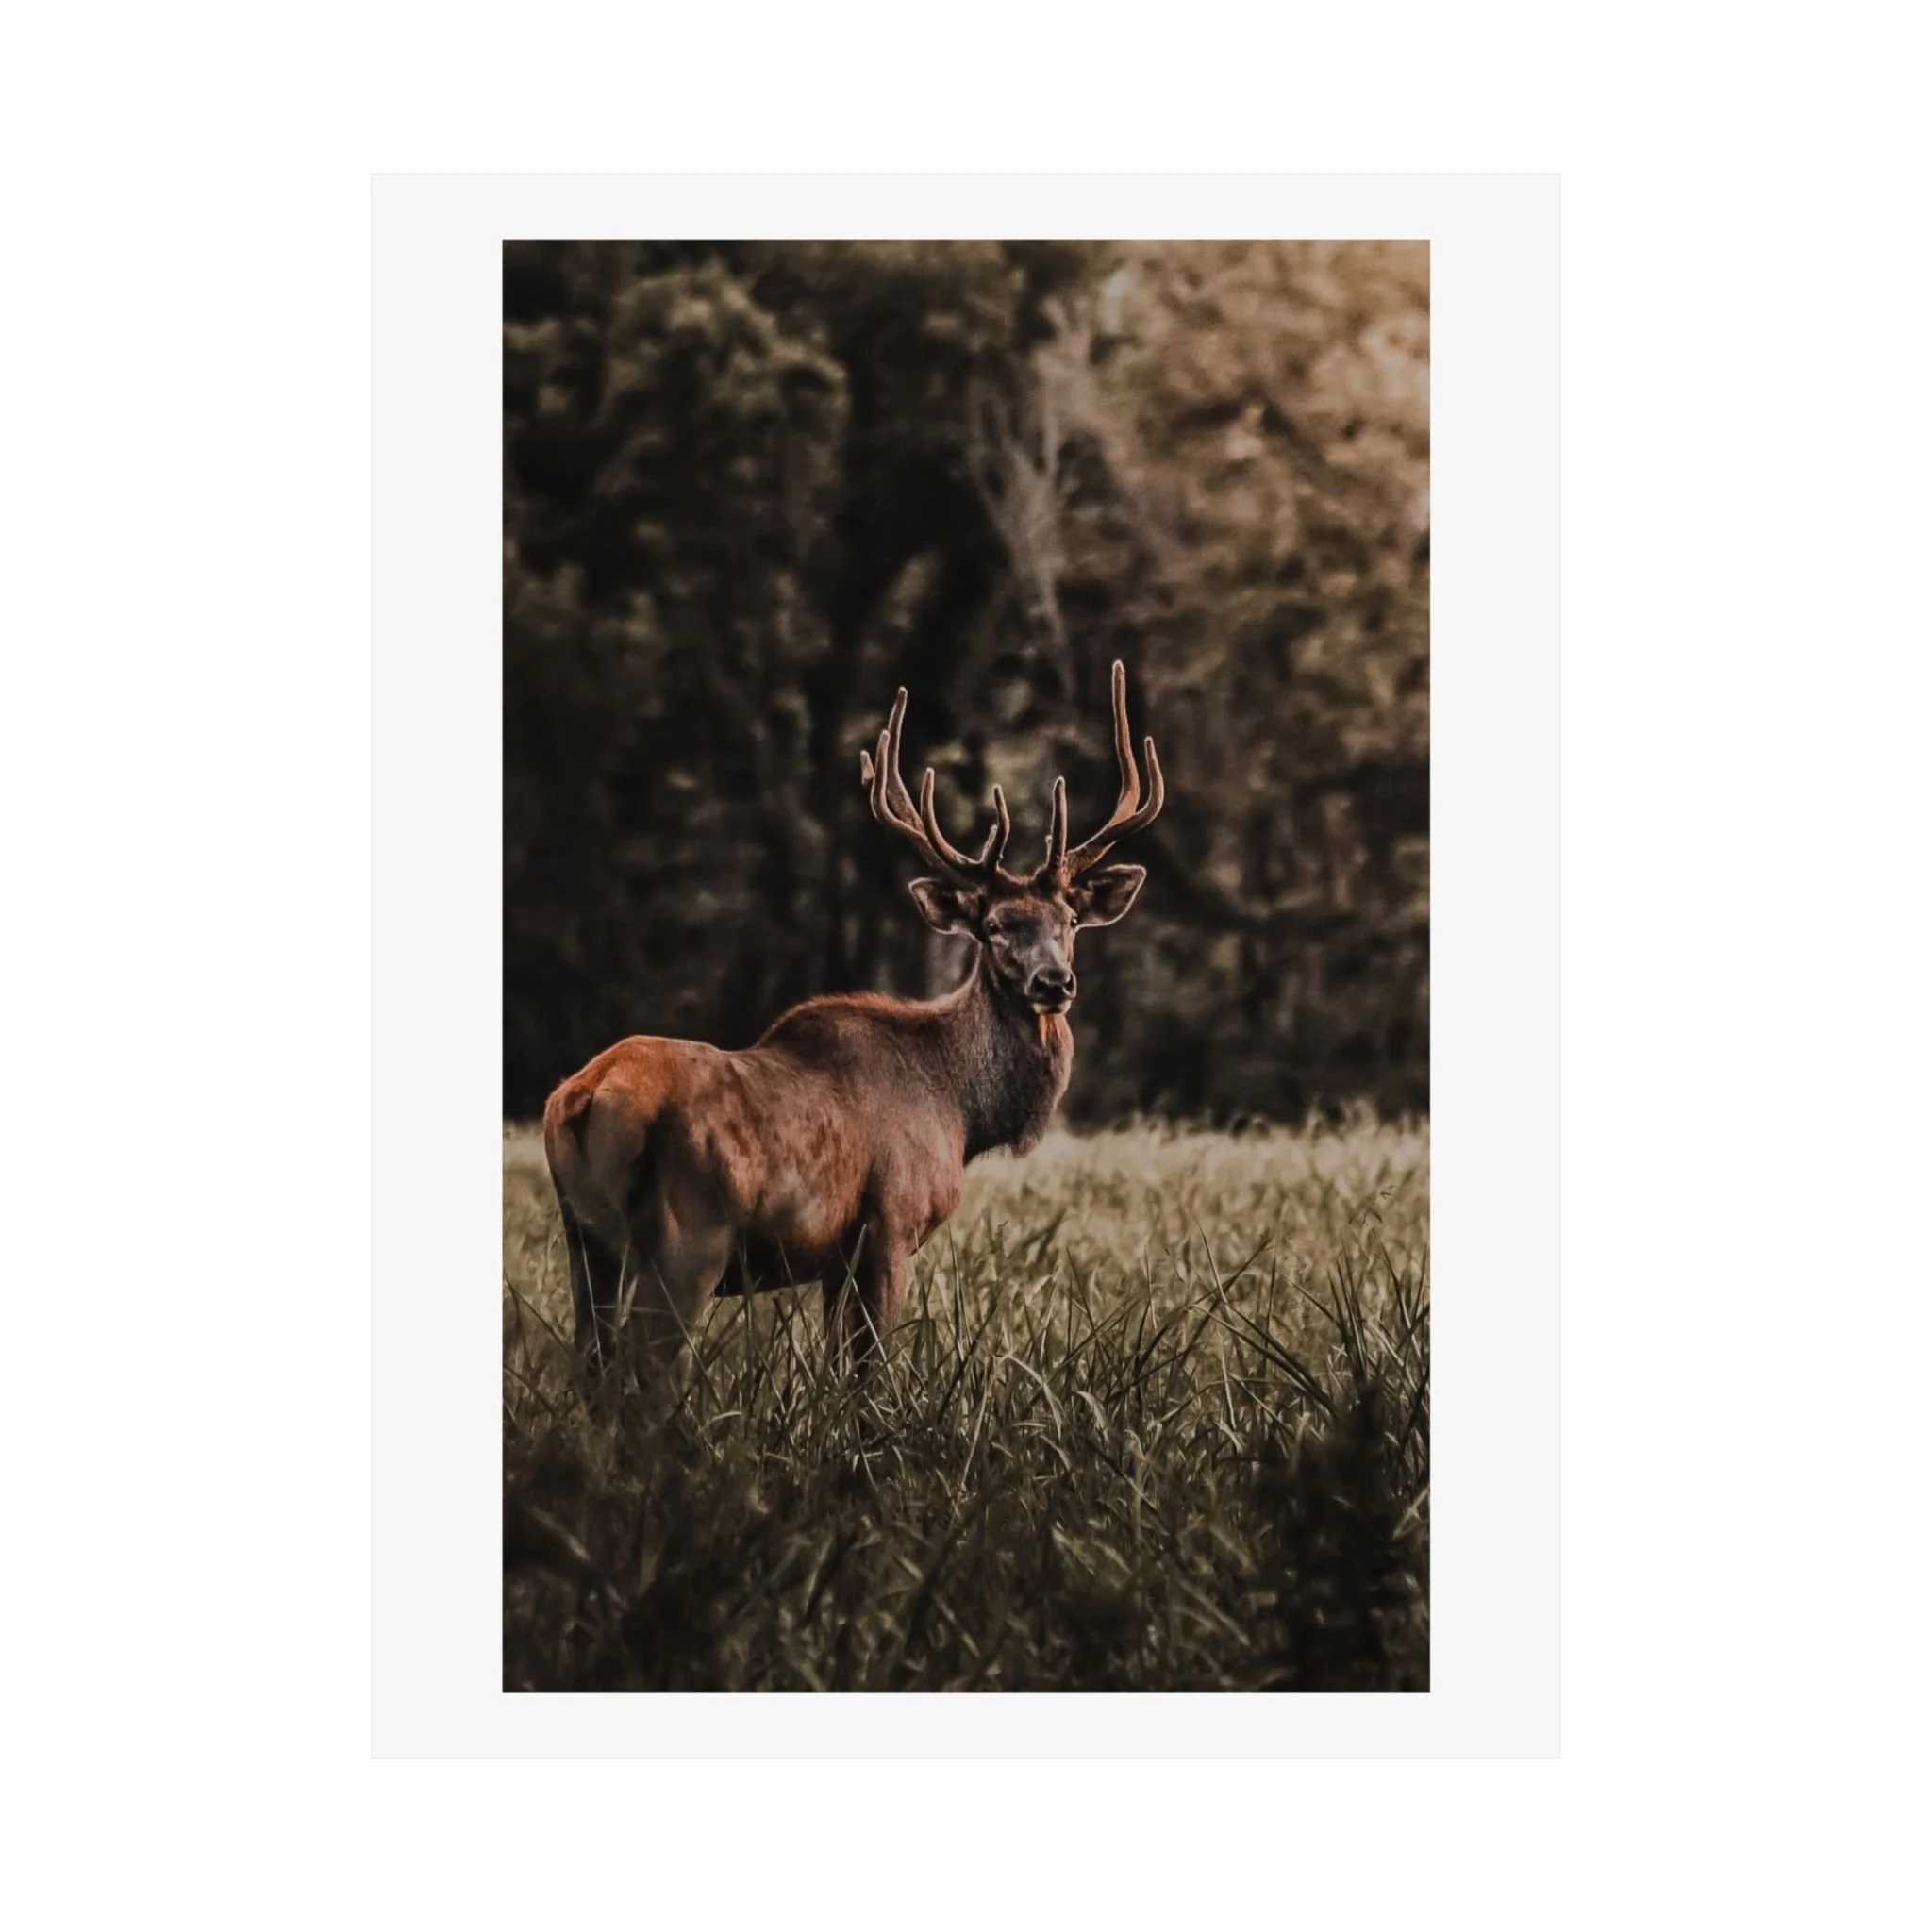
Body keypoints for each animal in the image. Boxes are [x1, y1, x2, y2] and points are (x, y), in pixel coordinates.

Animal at [541, 660, 1164, 1387]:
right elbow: (871, 1372)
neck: (963, 1109)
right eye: (993, 925)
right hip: (685, 1236)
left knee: (590, 1366)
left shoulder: (834, 1258)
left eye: (1068, 921)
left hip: (584, 1240)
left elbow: (837, 1372)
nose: (1053, 983)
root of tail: (583, 1099)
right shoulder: (890, 1223)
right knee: (640, 1375)